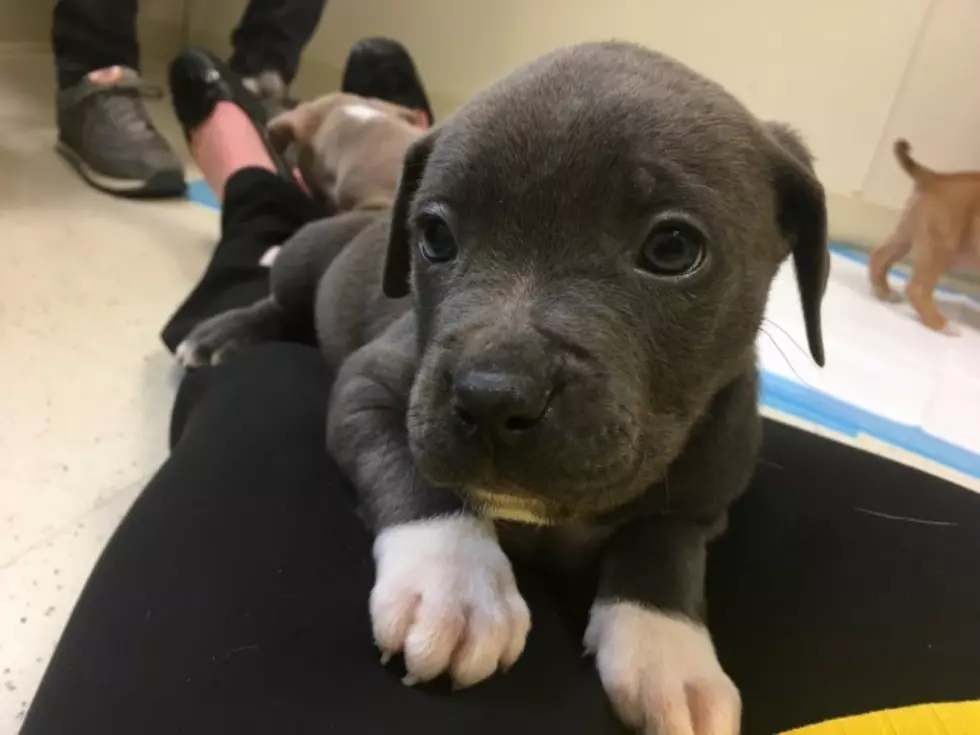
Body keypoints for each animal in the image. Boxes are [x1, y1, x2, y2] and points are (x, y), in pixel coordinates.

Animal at [178, 41, 828, 735]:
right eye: (434, 236)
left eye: (673, 248)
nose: (491, 399)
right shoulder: (372, 389)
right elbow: (422, 479)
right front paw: (455, 584)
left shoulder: (706, 500)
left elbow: (664, 548)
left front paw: (668, 651)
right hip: (309, 265)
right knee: (277, 298)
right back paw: (221, 334)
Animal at [868, 139, 980, 334]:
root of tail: (935, 177)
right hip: (941, 247)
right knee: (917, 287)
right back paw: (942, 324)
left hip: (906, 236)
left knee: (879, 256)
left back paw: (885, 293)